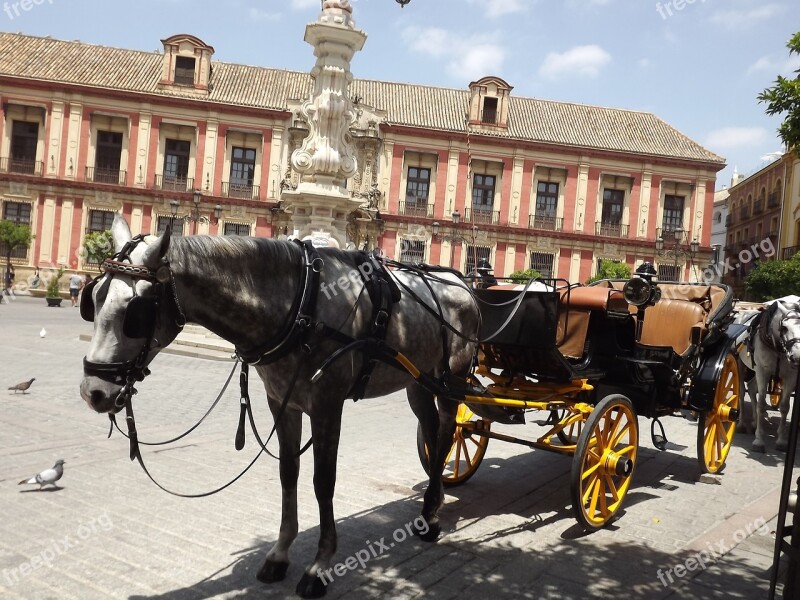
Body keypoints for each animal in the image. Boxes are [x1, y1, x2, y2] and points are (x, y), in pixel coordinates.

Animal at [79, 213, 482, 596]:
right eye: (92, 299)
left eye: (136, 311)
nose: (92, 391)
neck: (303, 301)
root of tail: (462, 284)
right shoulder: (282, 403)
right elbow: (289, 473)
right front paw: (279, 554)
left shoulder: (326, 405)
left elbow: (323, 481)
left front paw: (320, 566)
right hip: (418, 382)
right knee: (432, 431)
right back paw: (431, 504)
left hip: (452, 381)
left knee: (447, 433)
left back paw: (431, 517)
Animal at [736, 300, 800, 450]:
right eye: (784, 328)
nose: (797, 357)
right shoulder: (762, 370)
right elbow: (761, 404)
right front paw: (759, 440)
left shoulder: (791, 375)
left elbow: (784, 407)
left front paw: (781, 440)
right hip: (741, 364)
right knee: (741, 392)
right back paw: (741, 424)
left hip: (754, 370)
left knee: (751, 389)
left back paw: (754, 422)